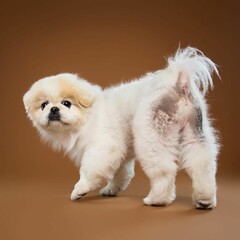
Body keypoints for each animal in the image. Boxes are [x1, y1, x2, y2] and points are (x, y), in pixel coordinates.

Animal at [23, 47, 220, 209]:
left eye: (66, 103)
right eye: (44, 105)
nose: (54, 109)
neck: (88, 116)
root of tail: (179, 85)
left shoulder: (103, 148)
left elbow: (89, 171)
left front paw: (80, 190)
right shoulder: (121, 156)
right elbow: (121, 175)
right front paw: (111, 190)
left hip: (152, 138)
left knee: (165, 171)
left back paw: (157, 200)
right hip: (195, 134)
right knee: (202, 165)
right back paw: (204, 200)